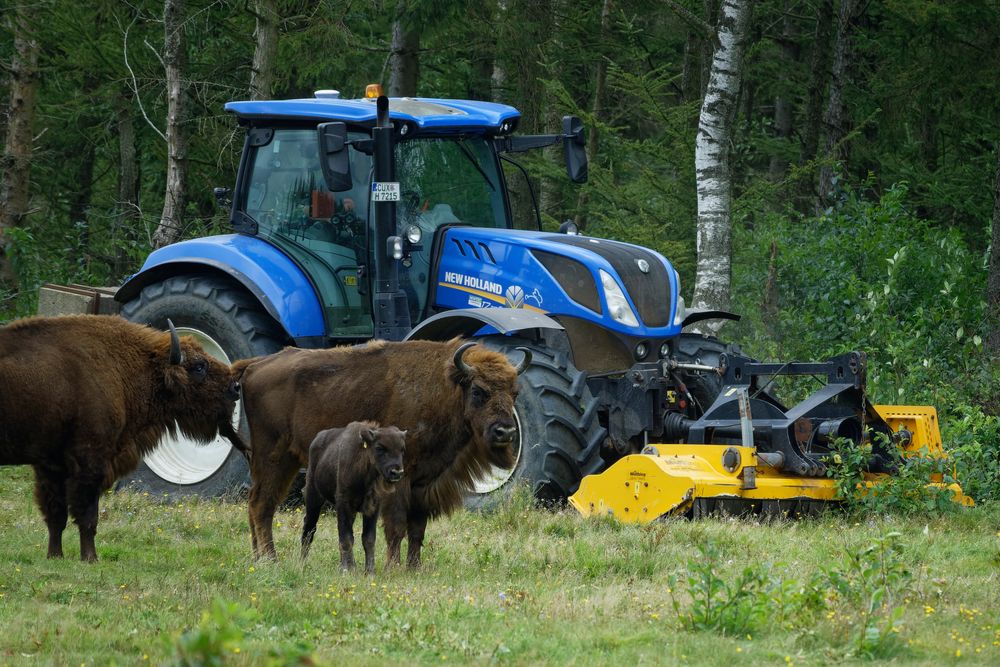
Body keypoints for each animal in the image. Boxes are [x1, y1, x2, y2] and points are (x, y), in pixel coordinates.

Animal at [0, 316, 244, 560]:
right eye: (199, 366)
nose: (235, 387)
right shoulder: (90, 463)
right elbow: (87, 517)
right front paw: (91, 559)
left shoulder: (50, 466)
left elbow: (56, 516)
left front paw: (55, 556)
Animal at [300, 426, 406, 572]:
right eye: (379, 447)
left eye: (402, 449)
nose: (397, 472)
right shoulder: (344, 504)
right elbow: (346, 538)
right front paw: (347, 570)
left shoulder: (373, 508)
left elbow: (368, 538)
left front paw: (369, 571)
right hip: (313, 496)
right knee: (309, 527)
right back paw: (302, 563)